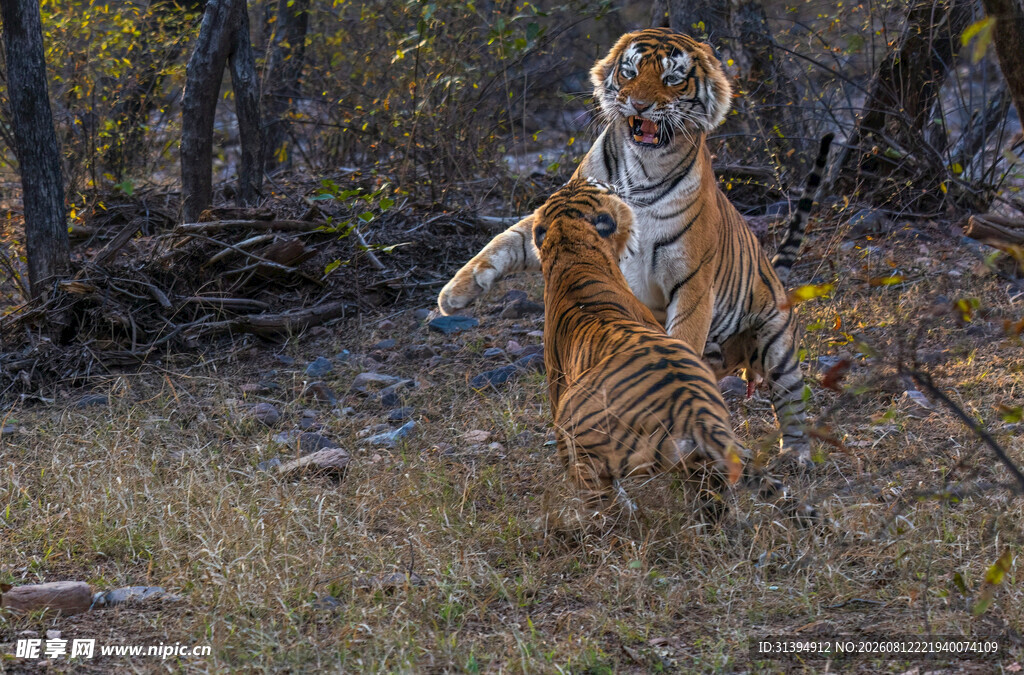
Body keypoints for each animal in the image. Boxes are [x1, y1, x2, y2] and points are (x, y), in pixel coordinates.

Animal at [438, 27, 834, 466]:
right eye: (628, 73)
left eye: (672, 79)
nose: (639, 104)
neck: (643, 171)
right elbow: (511, 238)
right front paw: (454, 294)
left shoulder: (692, 281)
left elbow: (684, 338)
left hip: (777, 341)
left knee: (791, 399)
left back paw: (796, 455)